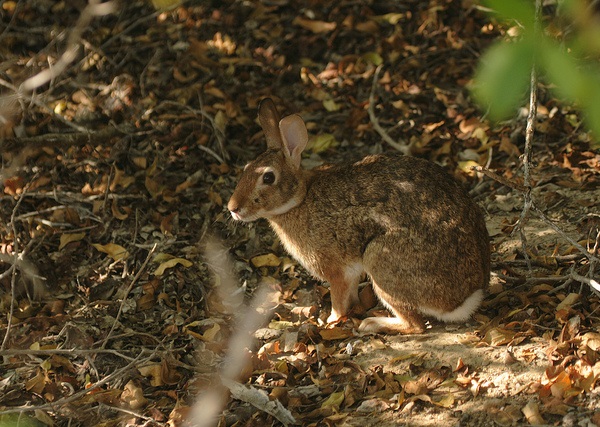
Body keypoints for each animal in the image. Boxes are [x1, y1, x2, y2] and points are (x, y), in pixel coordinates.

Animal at [227, 98, 490, 336]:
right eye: (246, 168)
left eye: (268, 177)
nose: (233, 207)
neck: (300, 198)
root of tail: (465, 299)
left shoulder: (336, 270)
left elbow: (339, 300)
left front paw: (329, 321)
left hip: (381, 262)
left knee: (416, 325)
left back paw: (373, 324)